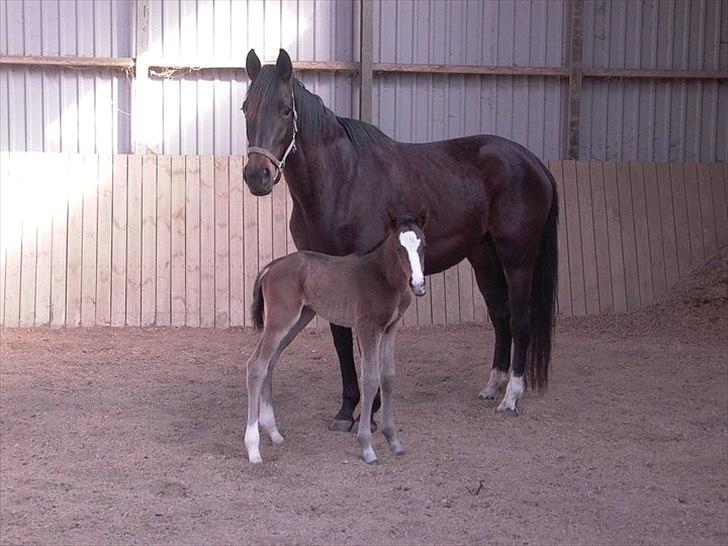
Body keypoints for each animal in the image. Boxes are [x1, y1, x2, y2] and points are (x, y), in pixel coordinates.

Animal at [243, 50, 556, 424]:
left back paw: (511, 396)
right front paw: (347, 409)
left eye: (285, 110)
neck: (342, 181)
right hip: (484, 257)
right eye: (246, 108)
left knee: (521, 318)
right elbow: (340, 338)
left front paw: (373, 407)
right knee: (501, 315)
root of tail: (532, 161)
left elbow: (368, 341)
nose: (257, 175)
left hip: (518, 258)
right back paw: (493, 386)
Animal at [245, 206, 426, 462]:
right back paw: (253, 449)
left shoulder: (389, 329)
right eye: (399, 248)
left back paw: (274, 433)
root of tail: (273, 265)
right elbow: (370, 379)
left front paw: (394, 442)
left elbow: (388, 377)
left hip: (298, 319)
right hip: (281, 319)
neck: (382, 276)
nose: (418, 284)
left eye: (423, 246)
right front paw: (367, 448)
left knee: (270, 363)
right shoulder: (367, 327)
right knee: (256, 365)